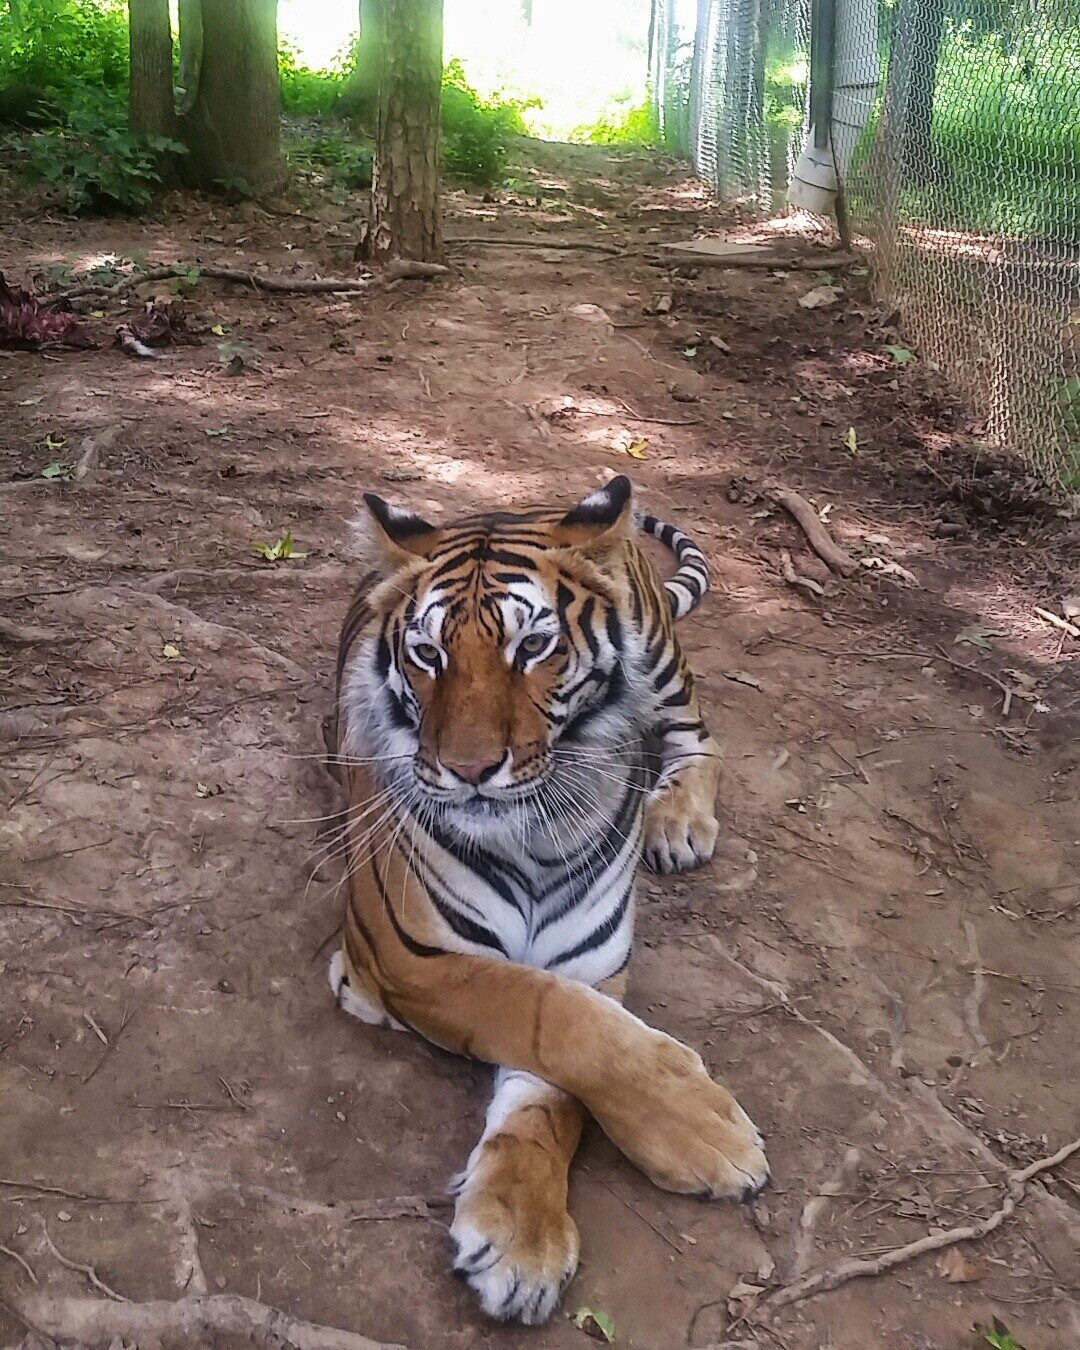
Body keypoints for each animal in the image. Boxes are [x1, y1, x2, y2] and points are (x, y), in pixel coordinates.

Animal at [323, 474, 769, 1325]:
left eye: (532, 647)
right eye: (426, 654)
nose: (467, 771)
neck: (534, 832)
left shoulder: (589, 965)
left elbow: (562, 1084)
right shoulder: (407, 954)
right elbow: (555, 1022)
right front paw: (707, 1132)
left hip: (662, 658)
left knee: (704, 737)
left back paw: (677, 823)